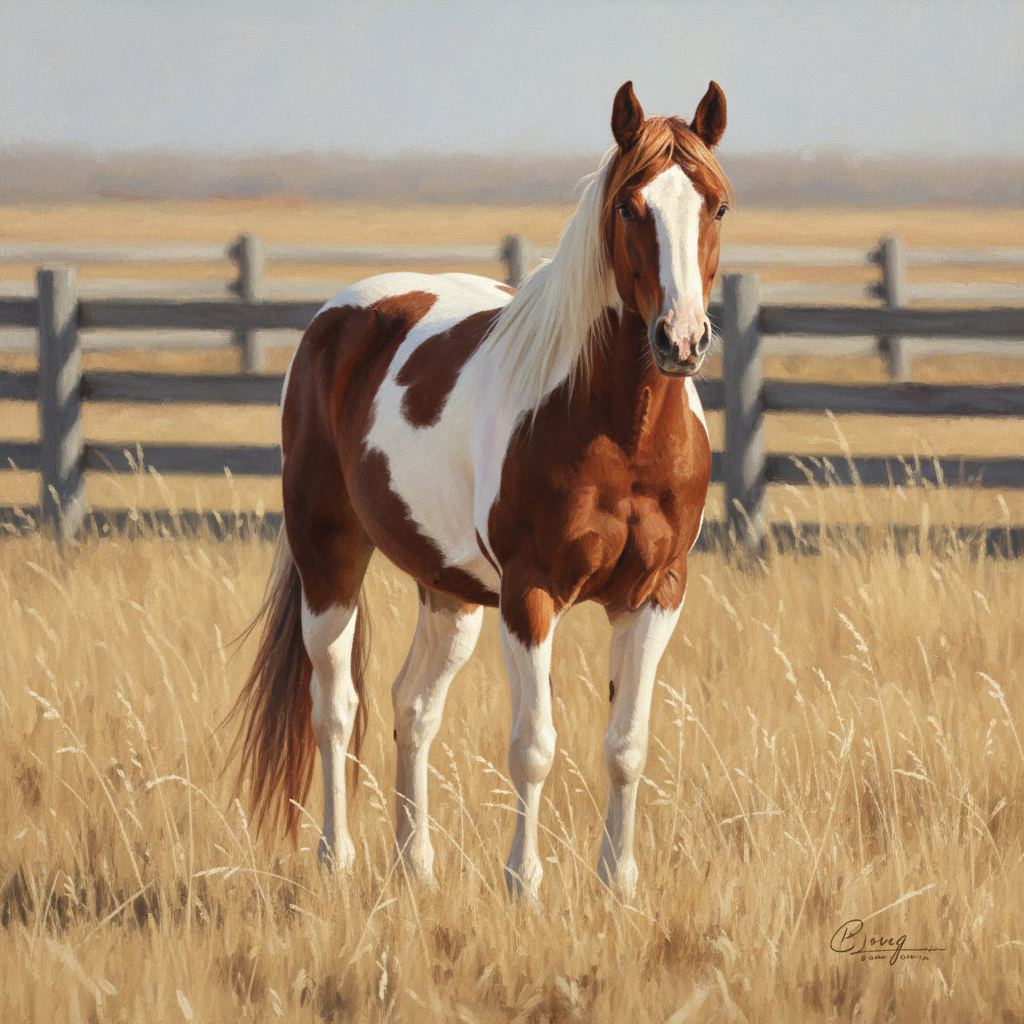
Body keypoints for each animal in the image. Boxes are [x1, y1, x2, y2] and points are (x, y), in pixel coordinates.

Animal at [233, 80, 732, 899]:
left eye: (717, 206)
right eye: (631, 207)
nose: (680, 340)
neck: (617, 433)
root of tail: (337, 319)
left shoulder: (656, 594)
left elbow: (626, 745)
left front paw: (617, 882)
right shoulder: (530, 595)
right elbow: (533, 746)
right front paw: (522, 883)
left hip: (452, 593)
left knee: (412, 707)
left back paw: (415, 864)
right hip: (328, 559)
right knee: (334, 707)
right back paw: (338, 857)